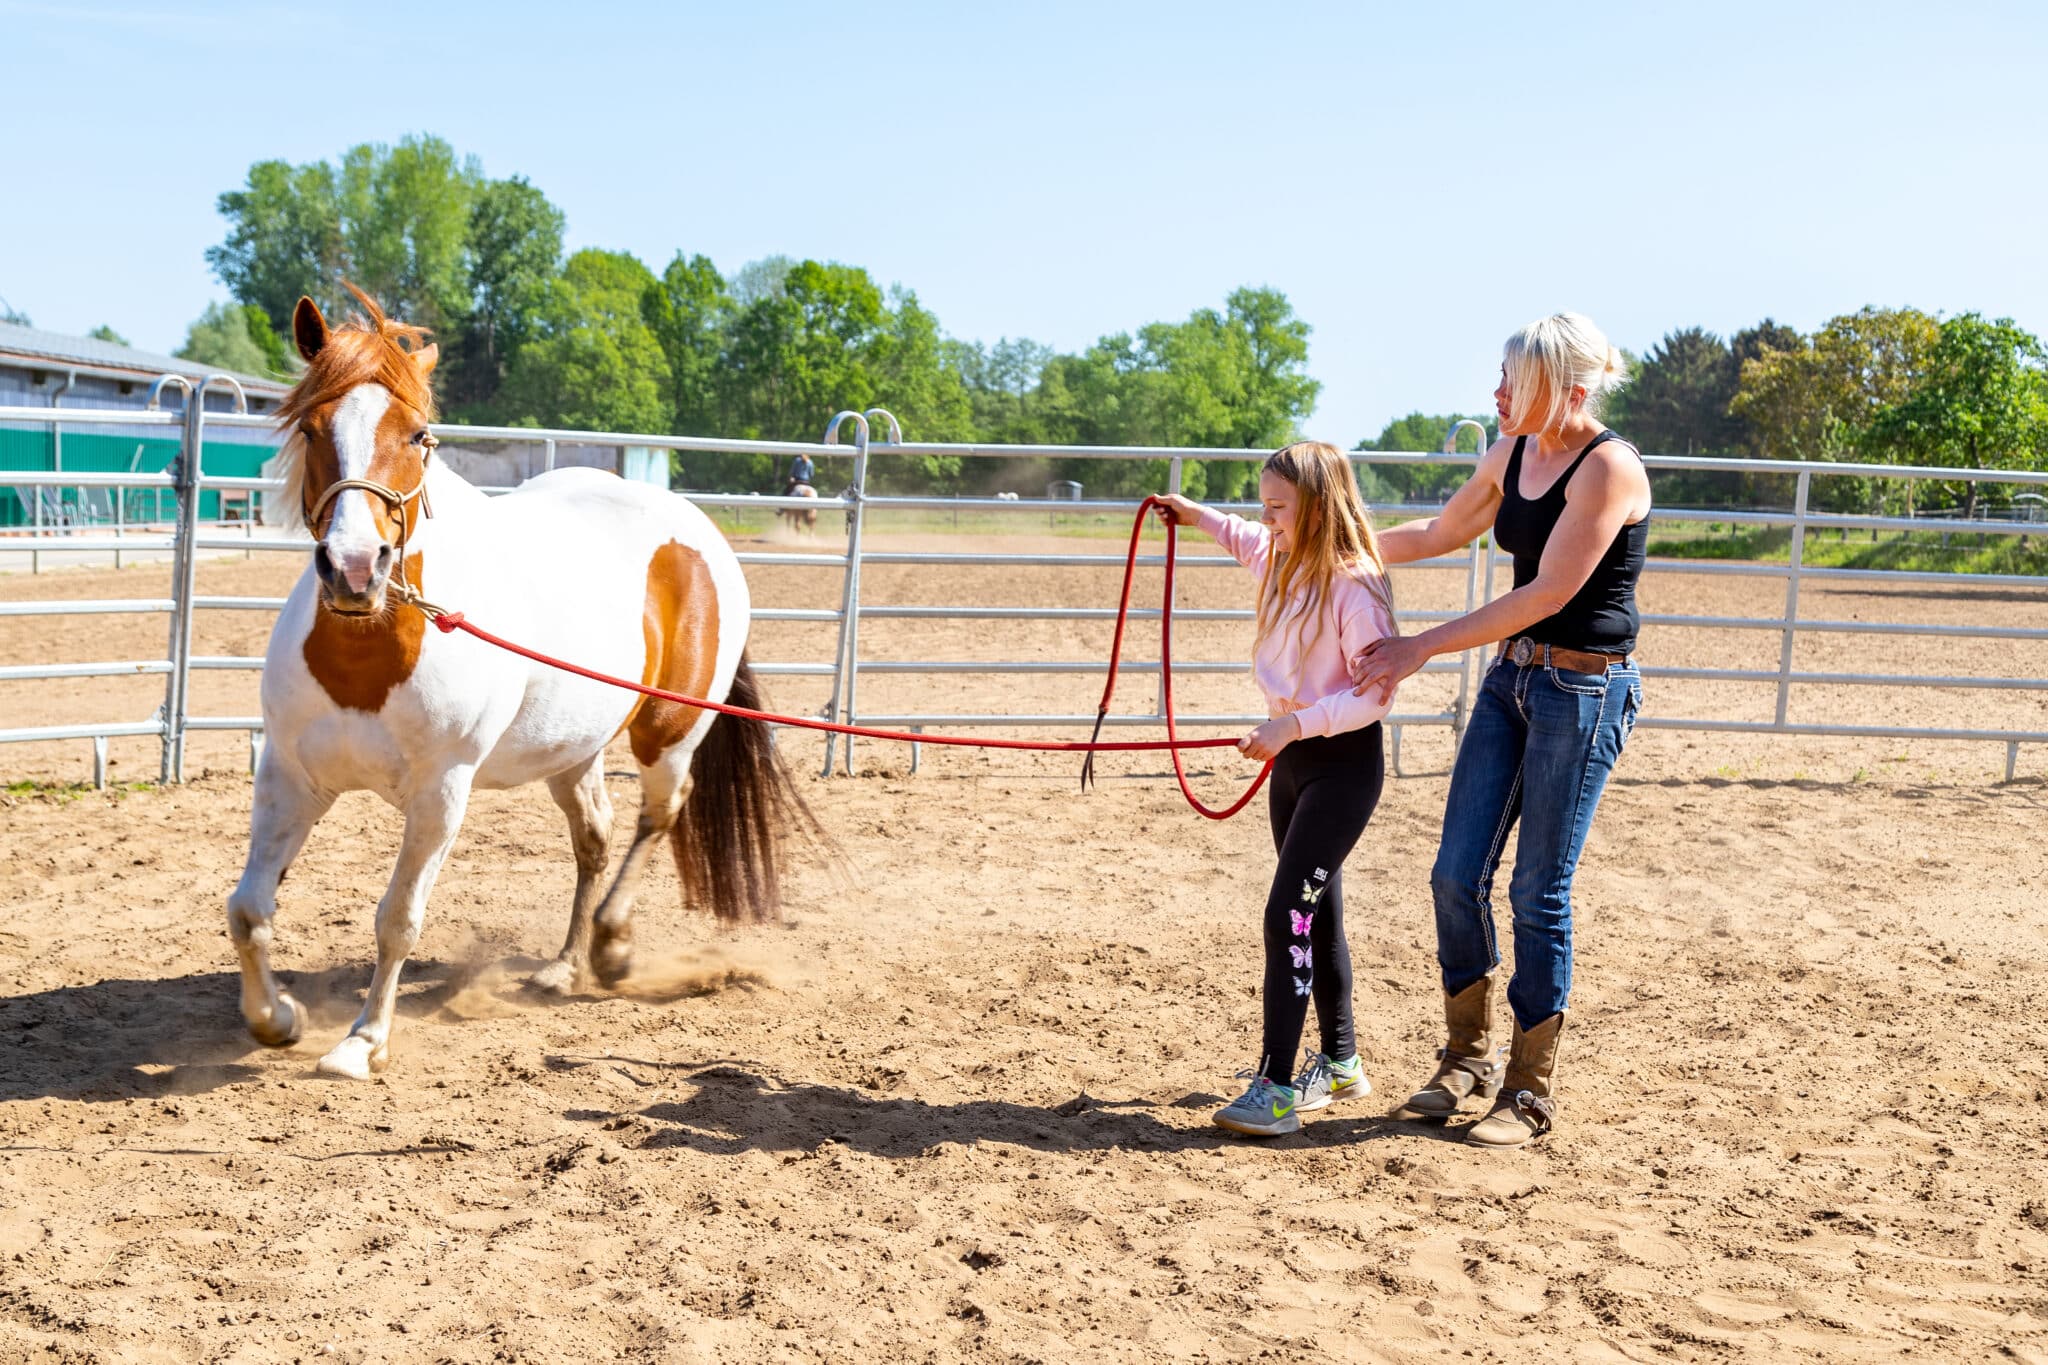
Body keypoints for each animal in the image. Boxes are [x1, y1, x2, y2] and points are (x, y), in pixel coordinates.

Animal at [228, 285, 816, 1080]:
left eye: (418, 435)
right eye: (313, 426)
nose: (354, 567)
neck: (370, 653)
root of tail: (694, 529)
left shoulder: (442, 793)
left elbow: (398, 918)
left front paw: (361, 1041)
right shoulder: (291, 777)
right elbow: (249, 908)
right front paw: (277, 1018)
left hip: (667, 732)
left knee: (659, 813)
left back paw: (611, 945)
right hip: (573, 747)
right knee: (594, 837)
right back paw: (564, 965)